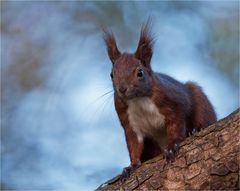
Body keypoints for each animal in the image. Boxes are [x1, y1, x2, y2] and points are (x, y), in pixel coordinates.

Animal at [102, 21, 217, 181]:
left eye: (140, 73)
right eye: (111, 74)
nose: (122, 89)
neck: (138, 99)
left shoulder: (172, 101)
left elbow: (176, 123)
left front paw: (172, 147)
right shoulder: (128, 120)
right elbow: (134, 144)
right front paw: (131, 166)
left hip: (199, 99)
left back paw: (196, 130)